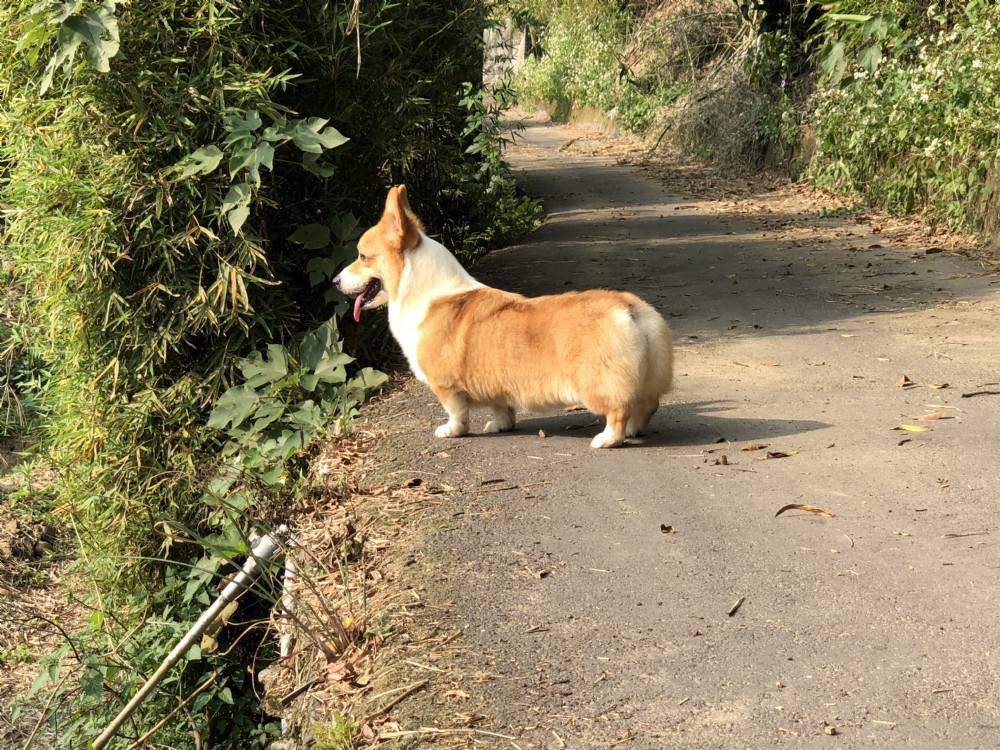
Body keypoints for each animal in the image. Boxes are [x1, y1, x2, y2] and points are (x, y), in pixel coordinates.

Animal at [333, 185, 673, 448]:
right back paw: (633, 430)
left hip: (597, 384)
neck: (421, 290)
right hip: (647, 379)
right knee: (647, 405)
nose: (335, 281)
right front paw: (499, 426)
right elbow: (501, 409)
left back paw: (607, 439)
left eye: (362, 256)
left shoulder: (446, 386)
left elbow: (456, 413)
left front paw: (451, 431)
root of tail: (629, 308)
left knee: (618, 411)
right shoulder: (495, 385)